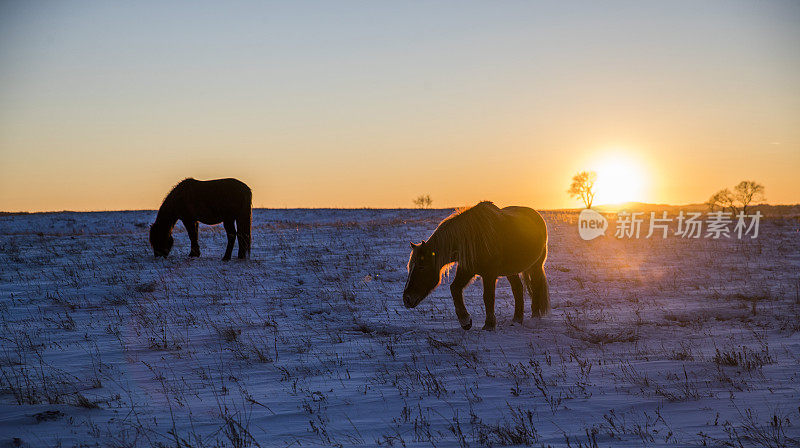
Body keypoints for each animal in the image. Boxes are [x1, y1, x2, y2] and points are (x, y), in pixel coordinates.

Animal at [404, 201, 548, 330]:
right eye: (410, 267)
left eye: (422, 267)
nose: (407, 299)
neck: (473, 238)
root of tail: (536, 215)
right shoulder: (467, 270)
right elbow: (455, 288)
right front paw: (465, 321)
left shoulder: (489, 274)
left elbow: (488, 297)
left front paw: (489, 325)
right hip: (511, 270)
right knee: (517, 289)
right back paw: (517, 320)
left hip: (535, 266)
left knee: (535, 287)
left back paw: (534, 318)